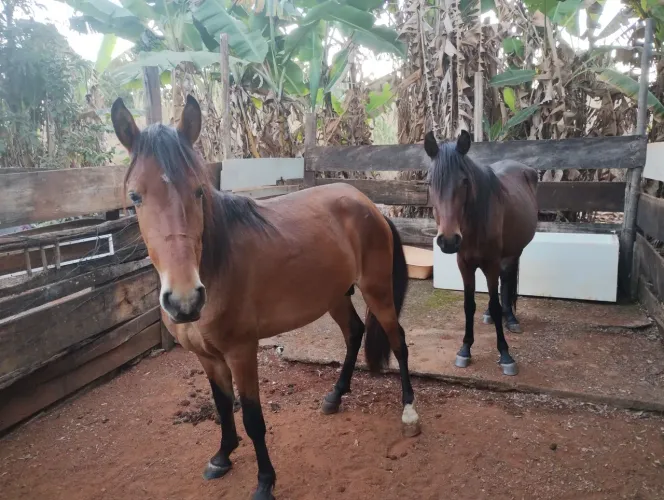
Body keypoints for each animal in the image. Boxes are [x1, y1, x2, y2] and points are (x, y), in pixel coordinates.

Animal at [110, 95, 420, 500]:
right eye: (135, 196)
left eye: (198, 190)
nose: (184, 301)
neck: (217, 264)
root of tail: (367, 204)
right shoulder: (207, 357)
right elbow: (222, 406)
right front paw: (222, 456)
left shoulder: (242, 352)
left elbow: (253, 417)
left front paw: (264, 481)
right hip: (333, 295)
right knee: (354, 333)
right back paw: (335, 396)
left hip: (377, 291)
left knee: (398, 342)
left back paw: (409, 411)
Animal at [423, 130, 538, 376]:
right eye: (429, 182)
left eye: (465, 181)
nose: (449, 240)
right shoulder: (464, 264)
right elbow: (469, 306)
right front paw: (465, 350)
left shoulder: (491, 264)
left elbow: (496, 304)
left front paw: (505, 355)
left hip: (514, 251)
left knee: (507, 279)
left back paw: (510, 318)